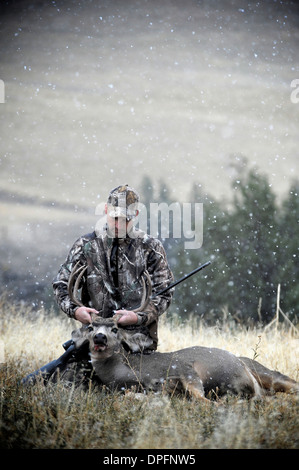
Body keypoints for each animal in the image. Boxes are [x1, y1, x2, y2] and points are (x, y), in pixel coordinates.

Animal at [68, 264, 299, 400]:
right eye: (90, 327)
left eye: (115, 329)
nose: (100, 337)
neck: (131, 371)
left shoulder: (185, 368)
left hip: (262, 370)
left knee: (289, 382)